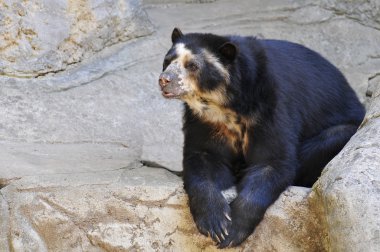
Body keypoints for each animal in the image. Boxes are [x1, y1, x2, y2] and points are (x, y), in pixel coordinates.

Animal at [158, 27, 366, 248]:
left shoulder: (270, 105)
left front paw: (233, 229)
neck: (225, 105)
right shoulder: (204, 121)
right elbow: (202, 158)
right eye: (167, 60)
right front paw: (216, 222)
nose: (164, 80)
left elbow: (272, 161)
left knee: (334, 136)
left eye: (192, 65)